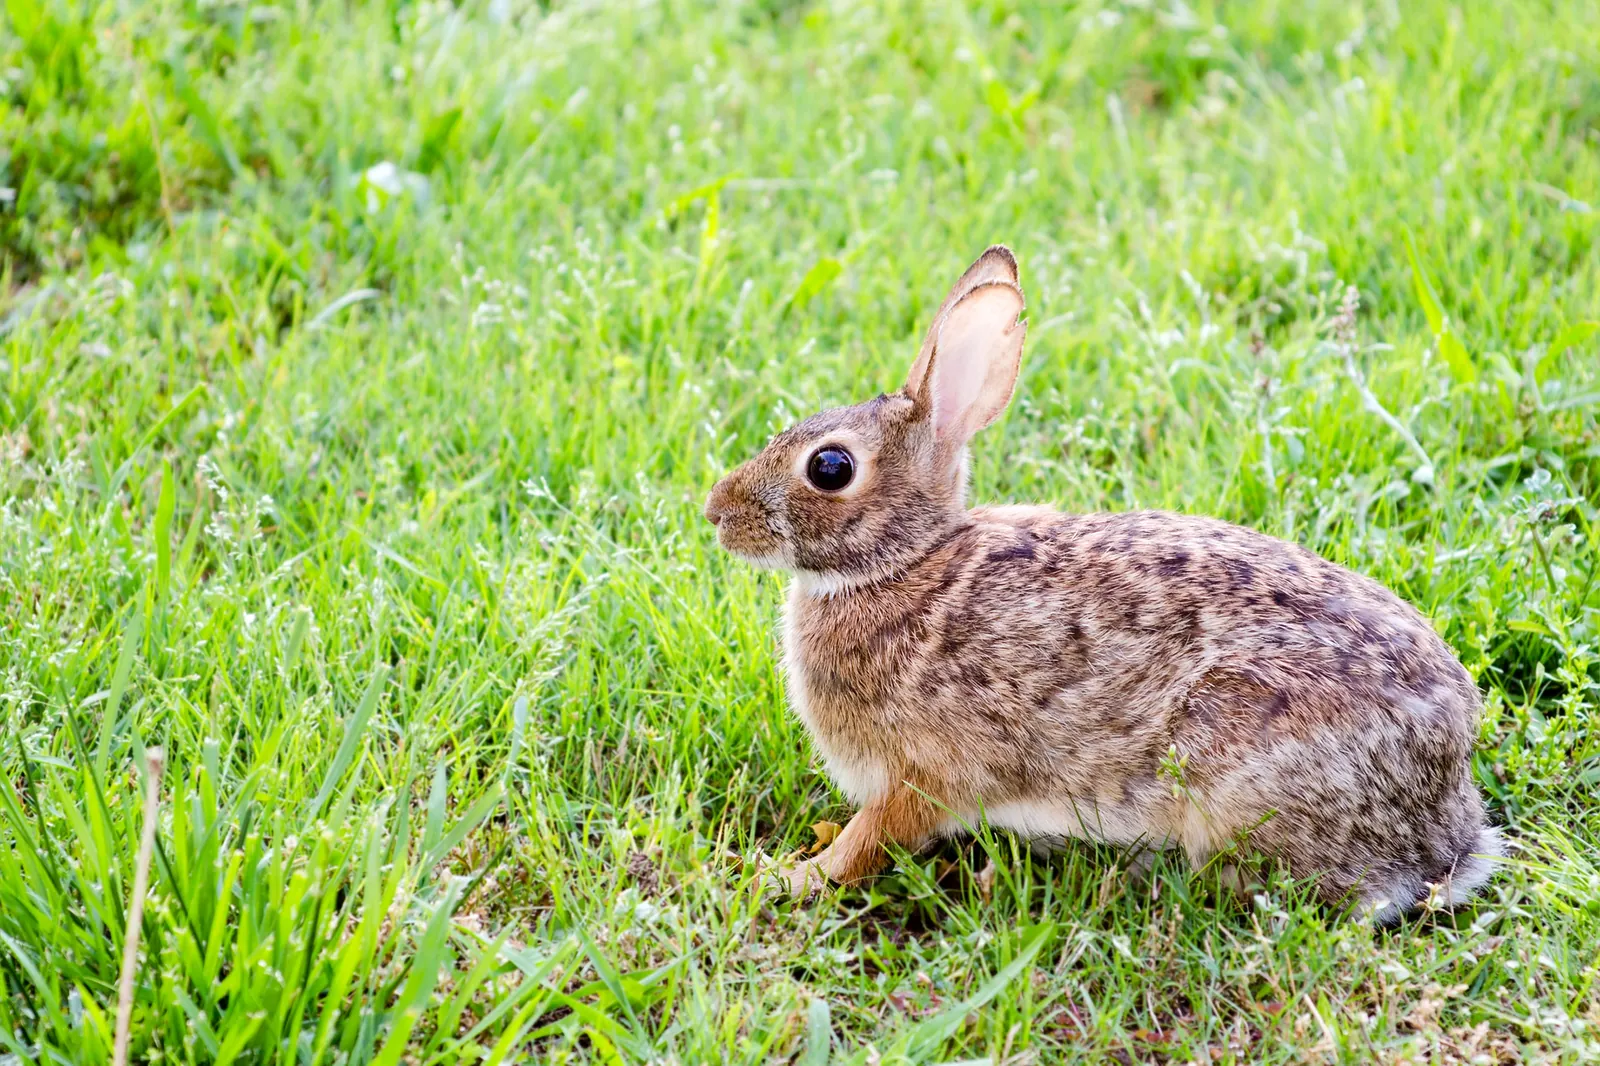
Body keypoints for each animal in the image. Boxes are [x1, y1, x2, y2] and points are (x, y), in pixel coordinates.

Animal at [702, 246, 1501, 923]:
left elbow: (868, 843)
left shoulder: (921, 775)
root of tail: (1450, 823)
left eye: (830, 467)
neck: (906, 563)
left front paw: (783, 877)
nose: (716, 512)